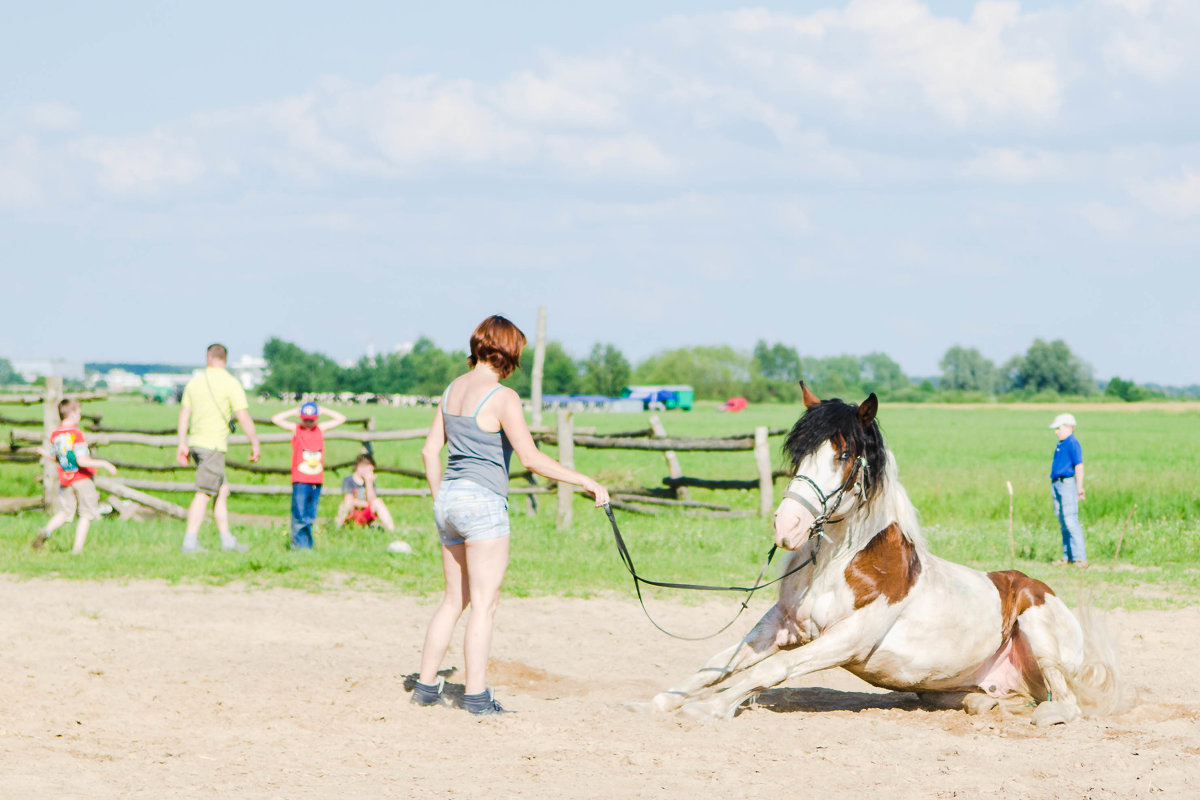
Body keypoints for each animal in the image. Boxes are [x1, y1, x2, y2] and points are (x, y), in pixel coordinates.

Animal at [652, 386, 1118, 724]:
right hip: (951, 686)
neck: (838, 567)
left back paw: (1049, 714)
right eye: (799, 453)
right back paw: (987, 705)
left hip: (1040, 631)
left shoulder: (847, 639)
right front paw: (661, 701)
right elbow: (718, 664)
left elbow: (769, 670)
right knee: (993, 699)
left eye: (843, 454)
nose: (787, 526)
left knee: (1066, 701)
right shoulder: (781, 624)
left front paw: (708, 707)